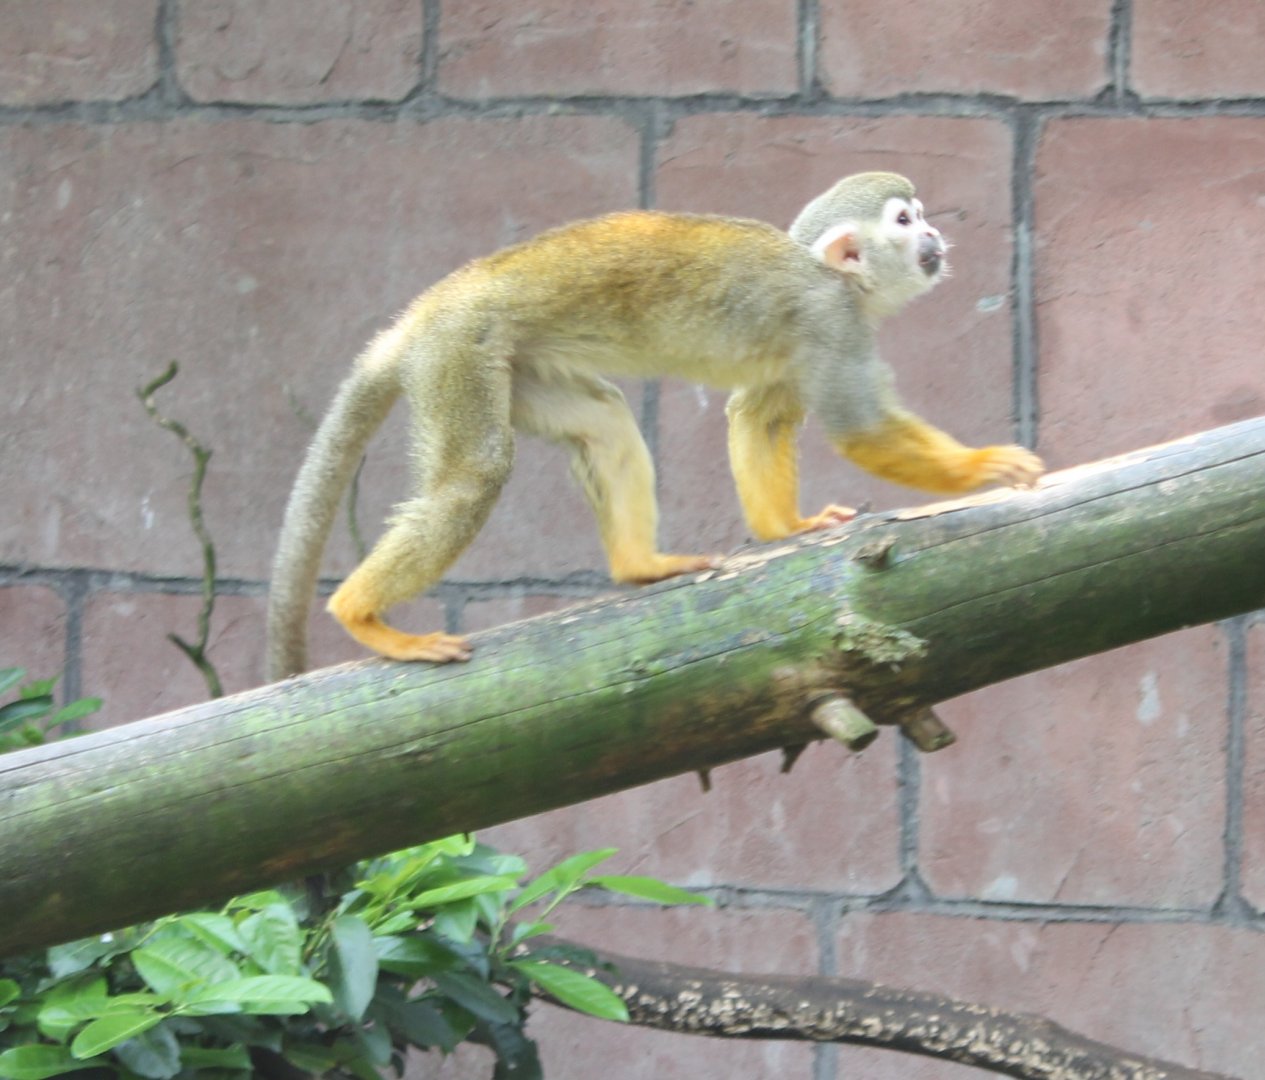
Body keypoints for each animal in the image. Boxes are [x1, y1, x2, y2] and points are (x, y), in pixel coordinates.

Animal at [266, 172, 1043, 680]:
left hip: (515, 361)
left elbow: (756, 415)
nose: (936, 233)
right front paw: (983, 466)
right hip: (459, 351)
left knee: (604, 424)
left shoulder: (810, 338)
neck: (836, 280)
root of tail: (423, 312)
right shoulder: (833, 322)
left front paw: (785, 528)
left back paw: (639, 565)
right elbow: (858, 428)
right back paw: (359, 614)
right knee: (473, 476)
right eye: (905, 222)